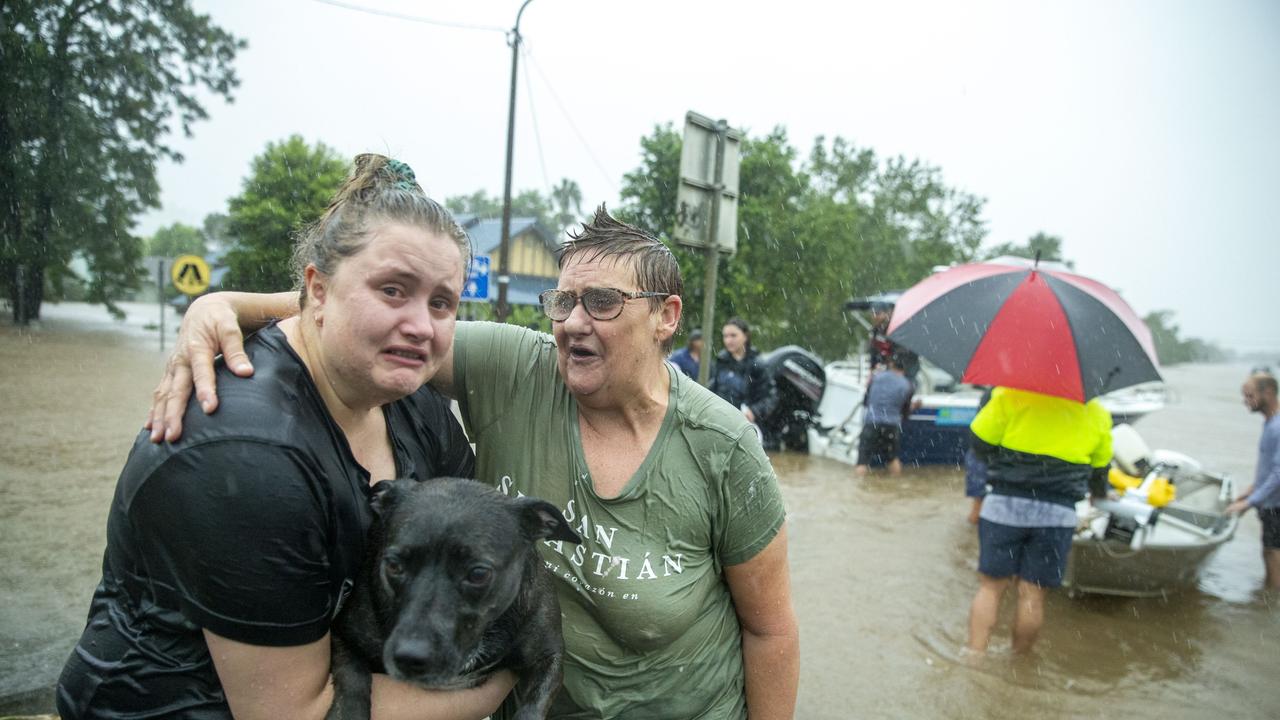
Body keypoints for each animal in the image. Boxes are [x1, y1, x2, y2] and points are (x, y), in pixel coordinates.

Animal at [325, 476, 581, 717]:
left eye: (478, 574)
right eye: (394, 565)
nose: (410, 656)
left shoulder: (548, 657)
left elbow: (534, 705)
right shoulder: (343, 635)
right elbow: (352, 677)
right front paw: (348, 713)